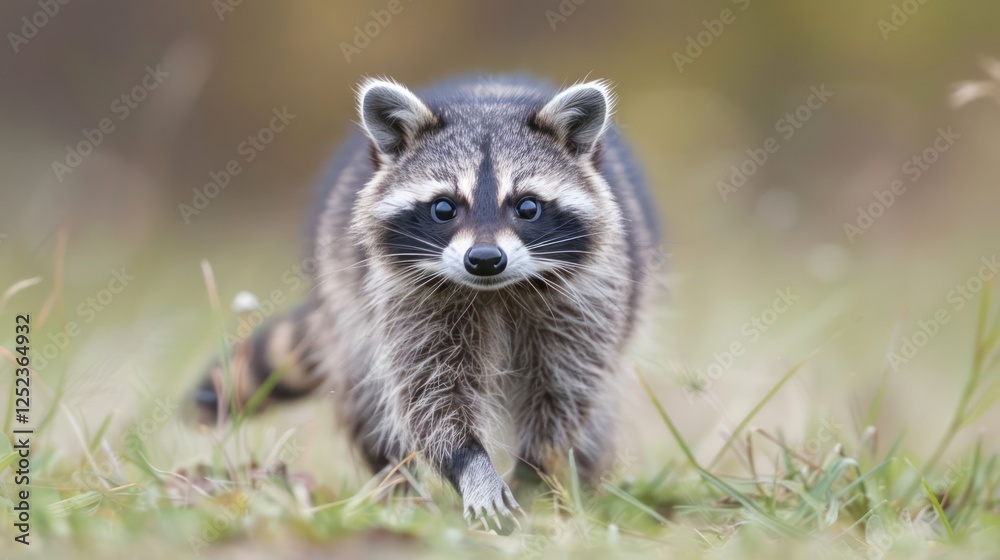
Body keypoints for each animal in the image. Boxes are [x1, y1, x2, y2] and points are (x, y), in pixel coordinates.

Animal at [192, 75, 661, 535]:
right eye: (443, 208)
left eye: (528, 206)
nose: (485, 259)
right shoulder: (405, 300)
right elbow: (429, 395)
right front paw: (471, 464)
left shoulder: (587, 299)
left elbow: (563, 391)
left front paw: (534, 474)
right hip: (347, 310)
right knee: (369, 400)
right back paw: (398, 489)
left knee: (596, 414)